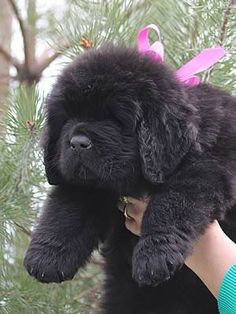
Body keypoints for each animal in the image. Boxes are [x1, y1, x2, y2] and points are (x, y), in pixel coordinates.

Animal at [24, 44, 236, 314]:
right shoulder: (90, 182)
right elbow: (66, 208)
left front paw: (154, 255)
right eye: (67, 118)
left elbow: (171, 203)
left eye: (114, 118)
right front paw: (46, 257)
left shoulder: (207, 170)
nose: (77, 143)